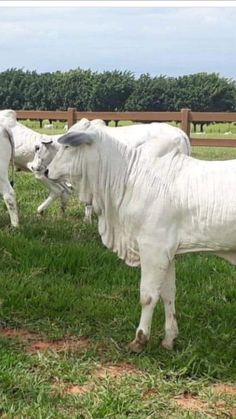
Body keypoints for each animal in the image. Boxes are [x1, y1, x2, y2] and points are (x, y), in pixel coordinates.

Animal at [45, 130, 236, 352]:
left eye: (67, 147)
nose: (46, 171)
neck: (127, 176)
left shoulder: (153, 249)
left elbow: (148, 296)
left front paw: (140, 339)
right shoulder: (168, 253)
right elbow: (168, 294)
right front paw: (169, 339)